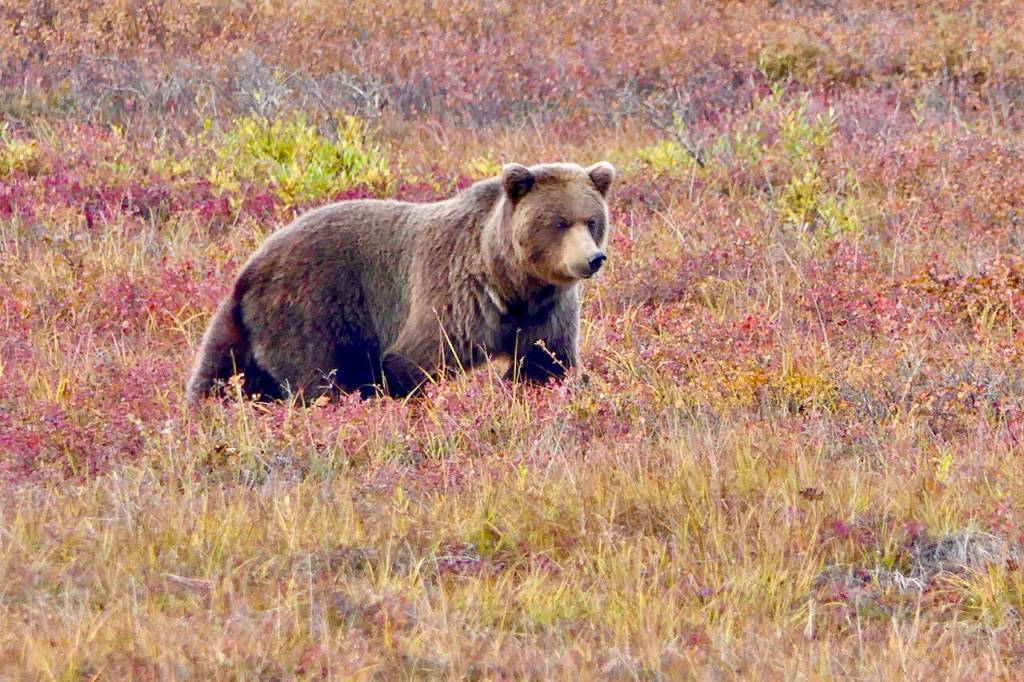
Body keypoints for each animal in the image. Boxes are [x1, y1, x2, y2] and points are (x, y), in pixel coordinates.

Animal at [185, 161, 615, 404]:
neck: (510, 282)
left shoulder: (546, 309)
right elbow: (416, 359)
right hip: (310, 309)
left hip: (244, 322)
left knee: (221, 370)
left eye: (592, 220)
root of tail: (253, 264)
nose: (592, 258)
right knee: (316, 378)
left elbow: (544, 363)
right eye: (559, 222)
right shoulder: (457, 295)